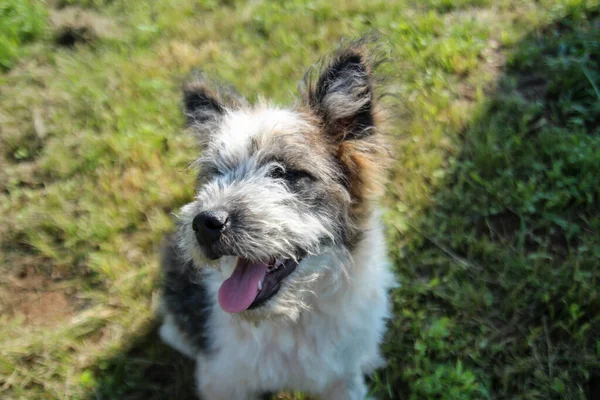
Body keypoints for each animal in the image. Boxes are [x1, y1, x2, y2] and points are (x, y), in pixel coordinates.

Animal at [157, 41, 396, 400]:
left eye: (284, 172)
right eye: (216, 173)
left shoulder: (343, 379)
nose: (205, 223)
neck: (294, 317)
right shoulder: (223, 382)